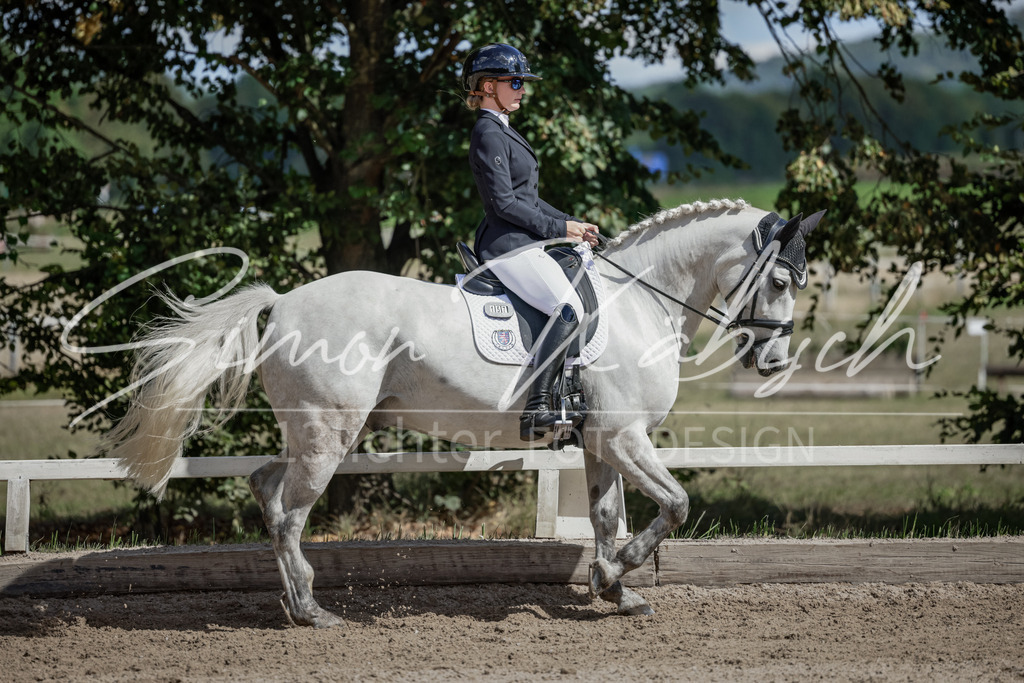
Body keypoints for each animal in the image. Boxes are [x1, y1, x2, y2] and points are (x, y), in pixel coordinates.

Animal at [104, 198, 822, 627]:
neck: (639, 299)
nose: (772, 362)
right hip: (329, 433)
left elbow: (604, 516)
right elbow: (674, 504)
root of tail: (281, 302)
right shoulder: (625, 436)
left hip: (312, 431)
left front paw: (613, 587)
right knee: (289, 509)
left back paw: (293, 600)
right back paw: (312, 610)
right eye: (779, 281)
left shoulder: (600, 441)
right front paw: (614, 574)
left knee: (266, 486)